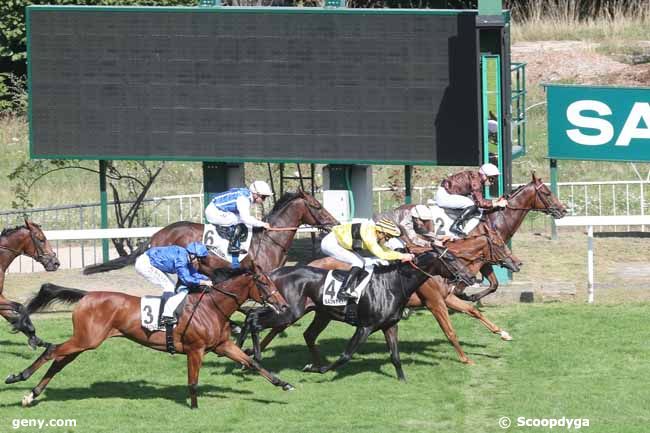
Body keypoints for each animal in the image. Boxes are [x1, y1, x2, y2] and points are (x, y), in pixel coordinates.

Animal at [0, 219, 59, 348]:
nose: (56, 263)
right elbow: (20, 307)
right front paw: (31, 331)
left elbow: (12, 316)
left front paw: (37, 340)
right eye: (41, 239)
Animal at [6, 270, 292, 408]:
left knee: (59, 361)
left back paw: (31, 395)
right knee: (51, 351)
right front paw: (194, 407)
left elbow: (253, 363)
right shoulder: (196, 350)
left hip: (85, 341)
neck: (212, 307)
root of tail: (88, 295)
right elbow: (193, 381)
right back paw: (17, 377)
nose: (284, 305)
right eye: (265, 284)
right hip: (86, 340)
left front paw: (283, 384)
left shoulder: (222, 346)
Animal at [235, 251, 474, 380]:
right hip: (289, 312)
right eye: (450, 259)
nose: (470, 277)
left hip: (318, 313)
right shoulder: (365, 327)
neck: (393, 284)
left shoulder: (390, 325)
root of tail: (274, 273)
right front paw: (322, 370)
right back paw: (254, 356)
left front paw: (403, 380)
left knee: (264, 320)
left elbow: (395, 356)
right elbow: (345, 356)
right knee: (255, 320)